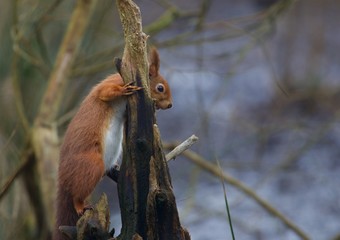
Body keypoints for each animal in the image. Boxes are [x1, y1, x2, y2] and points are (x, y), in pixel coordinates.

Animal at [54, 47, 171, 239]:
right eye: (160, 88)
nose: (169, 105)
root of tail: (63, 177)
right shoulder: (111, 84)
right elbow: (106, 92)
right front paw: (124, 89)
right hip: (91, 165)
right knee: (76, 194)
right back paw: (80, 205)